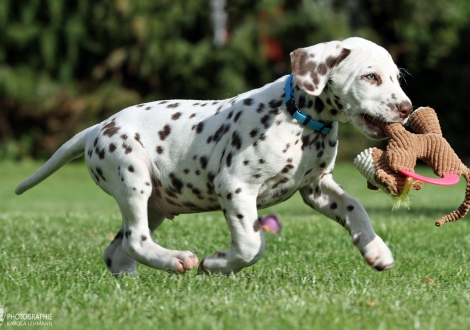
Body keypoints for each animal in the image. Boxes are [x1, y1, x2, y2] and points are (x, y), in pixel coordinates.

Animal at [15, 36, 412, 276]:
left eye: (396, 77)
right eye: (371, 77)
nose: (407, 108)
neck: (301, 120)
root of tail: (98, 127)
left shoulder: (316, 186)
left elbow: (355, 208)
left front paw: (376, 249)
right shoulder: (235, 187)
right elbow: (252, 243)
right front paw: (218, 263)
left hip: (155, 202)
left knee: (118, 249)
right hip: (132, 178)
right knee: (134, 238)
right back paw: (176, 259)